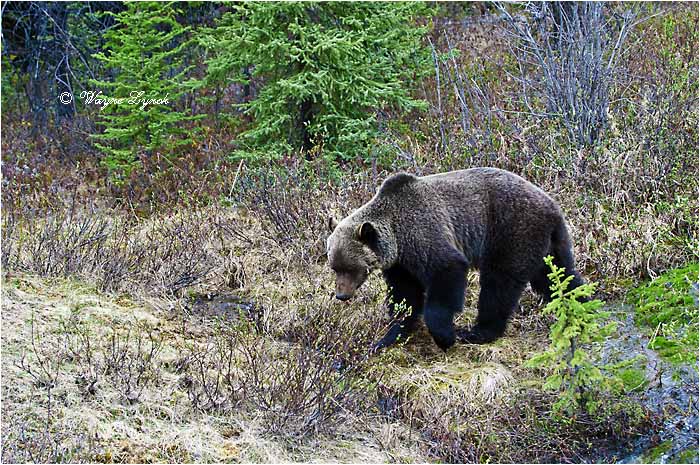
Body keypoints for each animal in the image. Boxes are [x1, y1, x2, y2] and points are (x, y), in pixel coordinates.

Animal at [326, 167, 586, 351]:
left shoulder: (423, 231)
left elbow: (446, 271)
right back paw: (583, 305)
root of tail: (552, 205)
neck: (397, 235)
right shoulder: (401, 263)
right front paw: (388, 337)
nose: (341, 295)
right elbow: (405, 296)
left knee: (498, 284)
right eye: (334, 267)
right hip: (548, 243)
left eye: (351, 268)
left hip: (512, 230)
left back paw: (478, 332)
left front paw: (445, 336)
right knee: (557, 276)